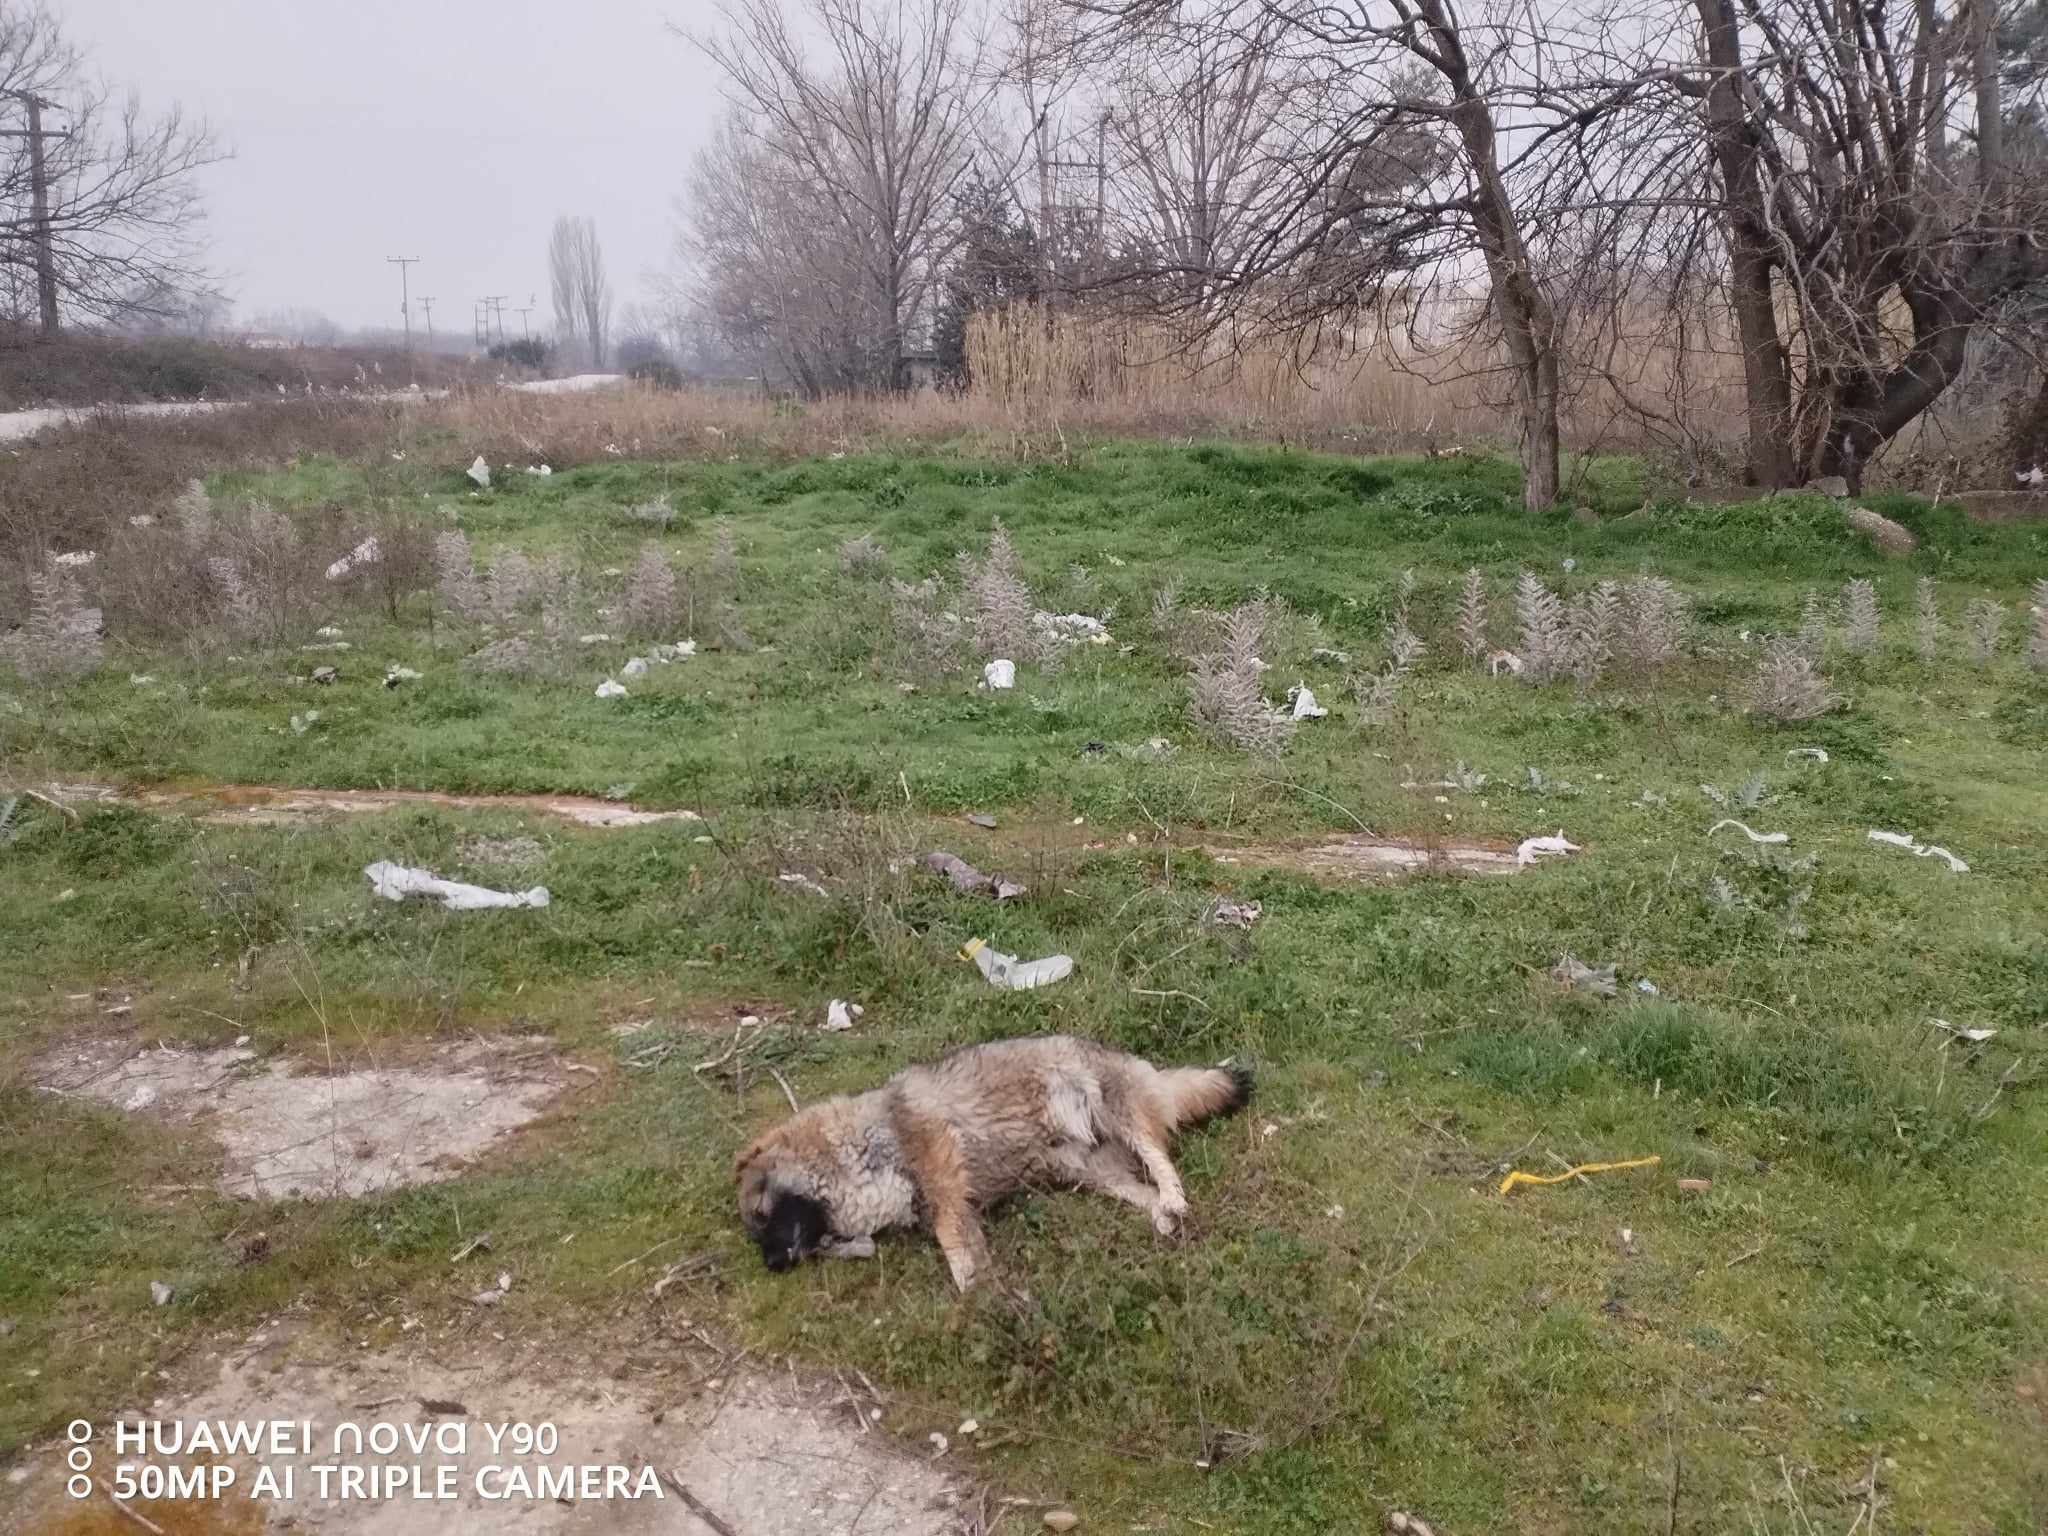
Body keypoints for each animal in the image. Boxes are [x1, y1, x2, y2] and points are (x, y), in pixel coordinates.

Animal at [737, 1036, 1245, 1286]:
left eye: (760, 1215)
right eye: (755, 1231)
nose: (771, 1266)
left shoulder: (938, 1163)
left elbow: (951, 1238)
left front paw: (970, 1289)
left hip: (1117, 1113)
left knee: (1161, 1161)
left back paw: (1174, 1199)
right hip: (1090, 1172)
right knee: (1143, 1190)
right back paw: (1164, 1216)